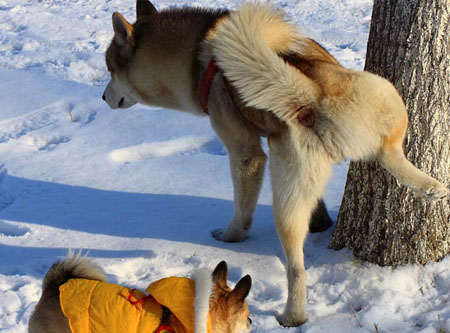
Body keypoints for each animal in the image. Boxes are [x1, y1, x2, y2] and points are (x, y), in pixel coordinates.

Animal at [100, 0, 448, 326]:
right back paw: (432, 188)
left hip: (285, 200)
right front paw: (321, 221)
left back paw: (292, 315)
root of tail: (312, 94)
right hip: (385, 100)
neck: (195, 58)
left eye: (110, 70)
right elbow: (318, 206)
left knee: (297, 269)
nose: (103, 98)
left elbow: (241, 211)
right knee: (392, 154)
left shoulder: (244, 150)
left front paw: (228, 237)